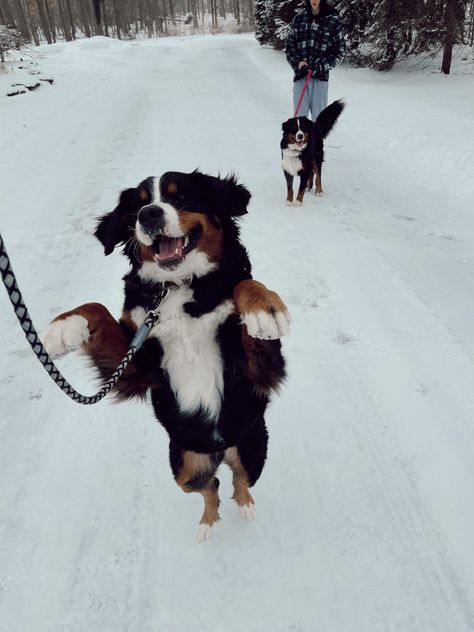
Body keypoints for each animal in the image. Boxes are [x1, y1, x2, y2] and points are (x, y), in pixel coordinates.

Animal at [42, 172, 290, 544]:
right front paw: (65, 325)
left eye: (181, 197)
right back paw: (206, 523)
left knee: (240, 478)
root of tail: (219, 448)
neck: (177, 286)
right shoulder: (139, 365)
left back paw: (245, 505)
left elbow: (244, 286)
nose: (149, 215)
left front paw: (265, 308)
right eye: (138, 205)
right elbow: (97, 308)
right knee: (211, 484)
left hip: (252, 448)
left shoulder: (255, 369)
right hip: (183, 465)